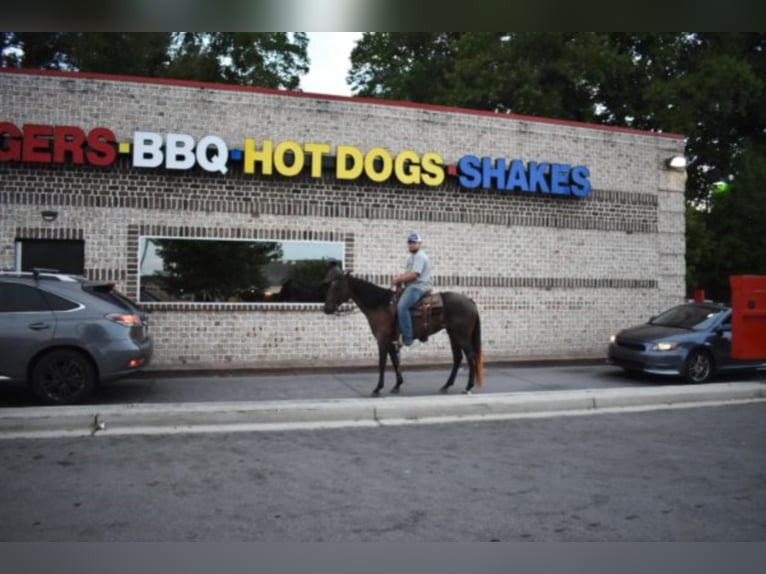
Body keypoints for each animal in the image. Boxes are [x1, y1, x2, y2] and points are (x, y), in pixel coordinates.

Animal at [320, 272, 484, 398]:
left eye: (336, 286)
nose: (326, 308)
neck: (380, 304)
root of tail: (470, 301)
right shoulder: (390, 340)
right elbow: (394, 361)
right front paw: (397, 385)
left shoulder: (382, 339)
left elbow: (382, 363)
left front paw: (377, 388)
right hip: (453, 335)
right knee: (457, 358)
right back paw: (446, 386)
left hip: (462, 336)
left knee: (470, 358)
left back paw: (468, 387)